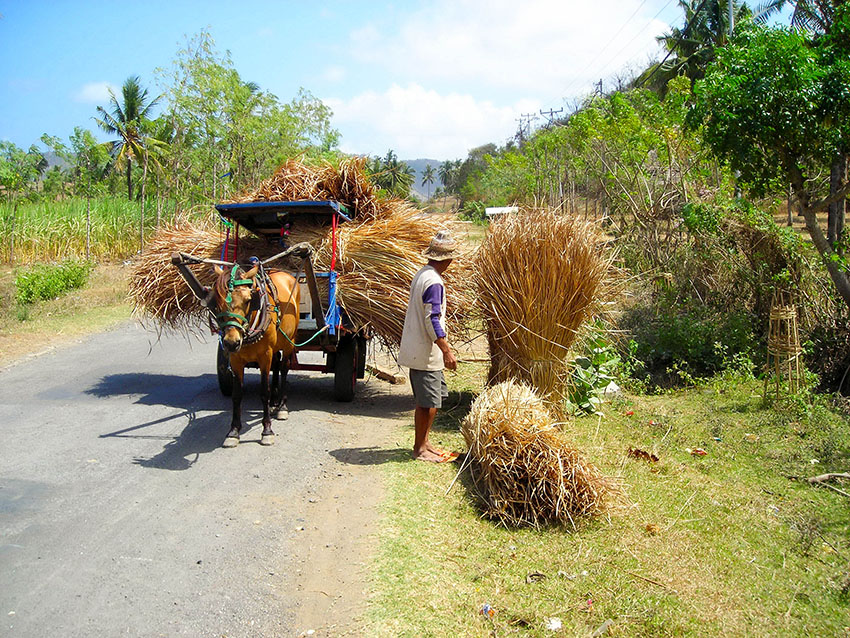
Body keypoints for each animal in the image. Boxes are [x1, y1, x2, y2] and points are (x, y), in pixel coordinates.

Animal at [211, 262, 298, 448]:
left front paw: (267, 430)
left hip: (289, 342)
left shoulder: (264, 355)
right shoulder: (235, 359)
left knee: (284, 368)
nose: (231, 342)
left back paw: (282, 406)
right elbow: (237, 394)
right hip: (275, 347)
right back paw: (274, 401)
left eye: (248, 300)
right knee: (277, 364)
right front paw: (234, 431)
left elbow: (263, 392)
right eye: (217, 302)